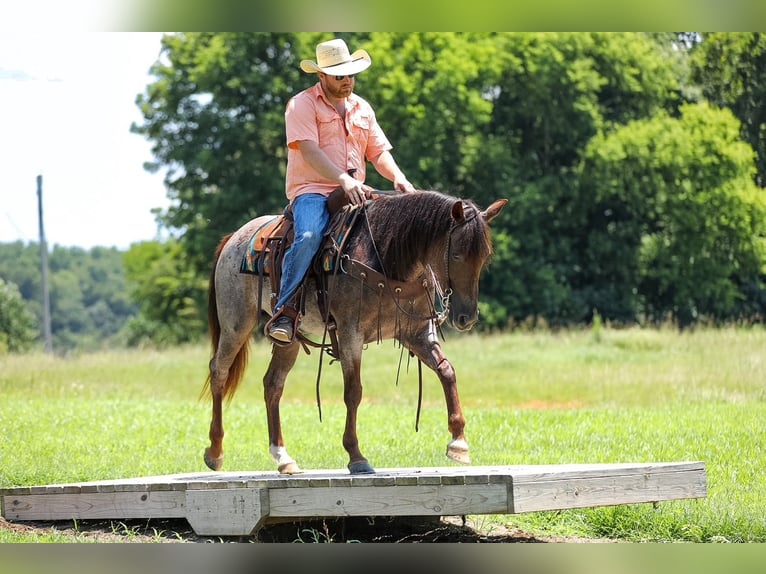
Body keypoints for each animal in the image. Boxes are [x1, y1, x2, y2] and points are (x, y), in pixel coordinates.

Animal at [202, 190, 507, 474]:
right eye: (456, 254)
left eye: (484, 257)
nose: (466, 317)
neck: (386, 256)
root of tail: (233, 238)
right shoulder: (351, 333)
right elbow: (354, 392)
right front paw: (356, 456)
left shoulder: (417, 334)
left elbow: (447, 371)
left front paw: (459, 442)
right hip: (235, 323)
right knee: (219, 371)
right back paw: (215, 451)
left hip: (288, 338)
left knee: (273, 384)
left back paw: (283, 458)